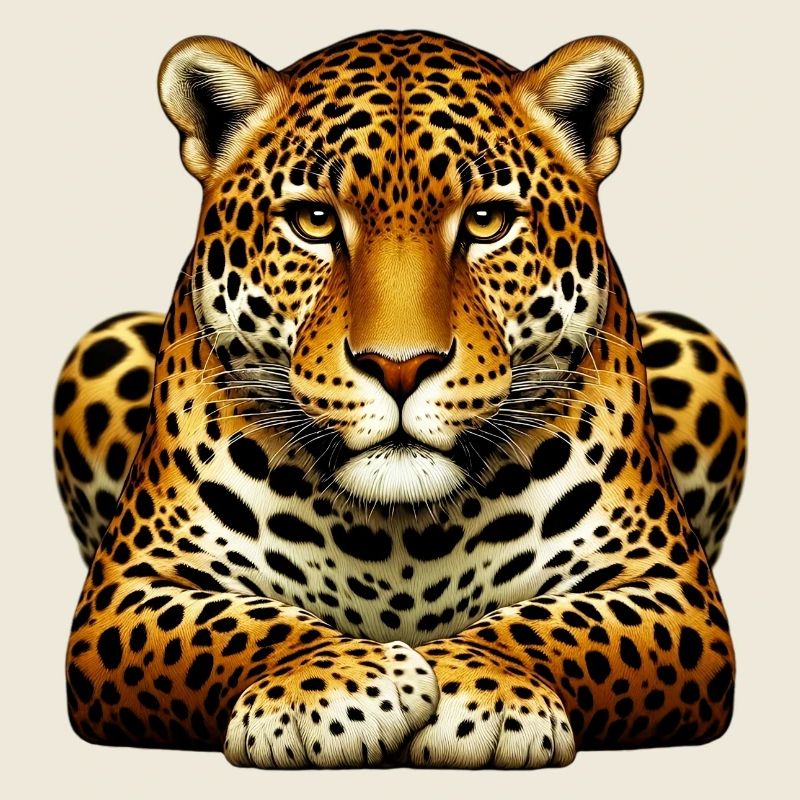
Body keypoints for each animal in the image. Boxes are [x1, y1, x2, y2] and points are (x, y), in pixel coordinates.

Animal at [56, 30, 747, 769]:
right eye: (313, 220)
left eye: (487, 220)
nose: (399, 367)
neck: (402, 538)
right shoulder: (127, 589)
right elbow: (238, 624)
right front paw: (326, 687)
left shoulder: (672, 590)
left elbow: (560, 624)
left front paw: (485, 688)